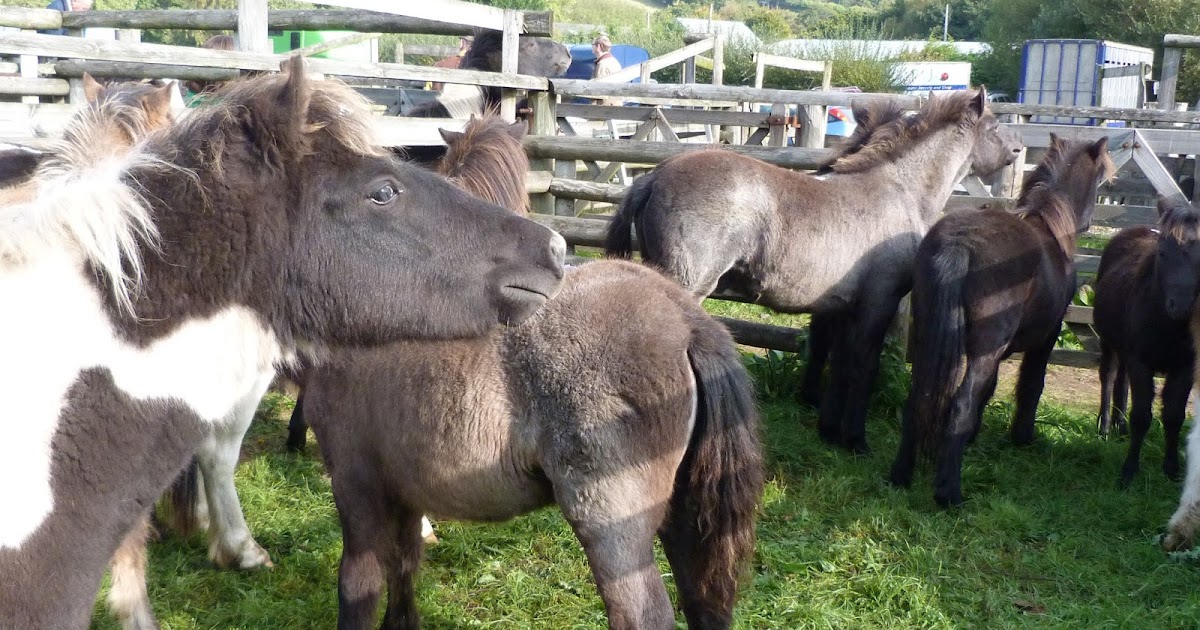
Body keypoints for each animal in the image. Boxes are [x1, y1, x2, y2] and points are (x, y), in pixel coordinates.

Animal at [301, 258, 763, 629]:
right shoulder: (402, 493)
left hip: (611, 521)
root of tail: (686, 318)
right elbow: (404, 568)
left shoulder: (356, 486)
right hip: (685, 517)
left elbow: (359, 585)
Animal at [605, 88, 1023, 455]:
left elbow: (838, 364)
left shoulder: (841, 306)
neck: (899, 189)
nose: (1018, 148)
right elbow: (863, 365)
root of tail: (652, 177)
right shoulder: (879, 301)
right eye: (993, 124)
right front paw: (855, 439)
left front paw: (829, 430)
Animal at [888, 134, 1114, 508]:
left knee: (920, 396)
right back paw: (950, 493)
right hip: (985, 348)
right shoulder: (1045, 338)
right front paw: (1022, 435)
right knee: (961, 403)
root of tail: (959, 244)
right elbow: (1031, 385)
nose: (1090, 223)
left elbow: (989, 388)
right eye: (1100, 181)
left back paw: (901, 475)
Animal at [1092, 196, 1200, 488]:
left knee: (1122, 381)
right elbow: (1141, 417)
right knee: (1109, 377)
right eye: (1162, 253)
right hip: (1109, 342)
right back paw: (1104, 428)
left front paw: (1172, 469)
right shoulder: (1140, 362)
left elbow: (1174, 416)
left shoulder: (1184, 368)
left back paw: (1119, 426)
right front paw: (1128, 471)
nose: (1180, 307)